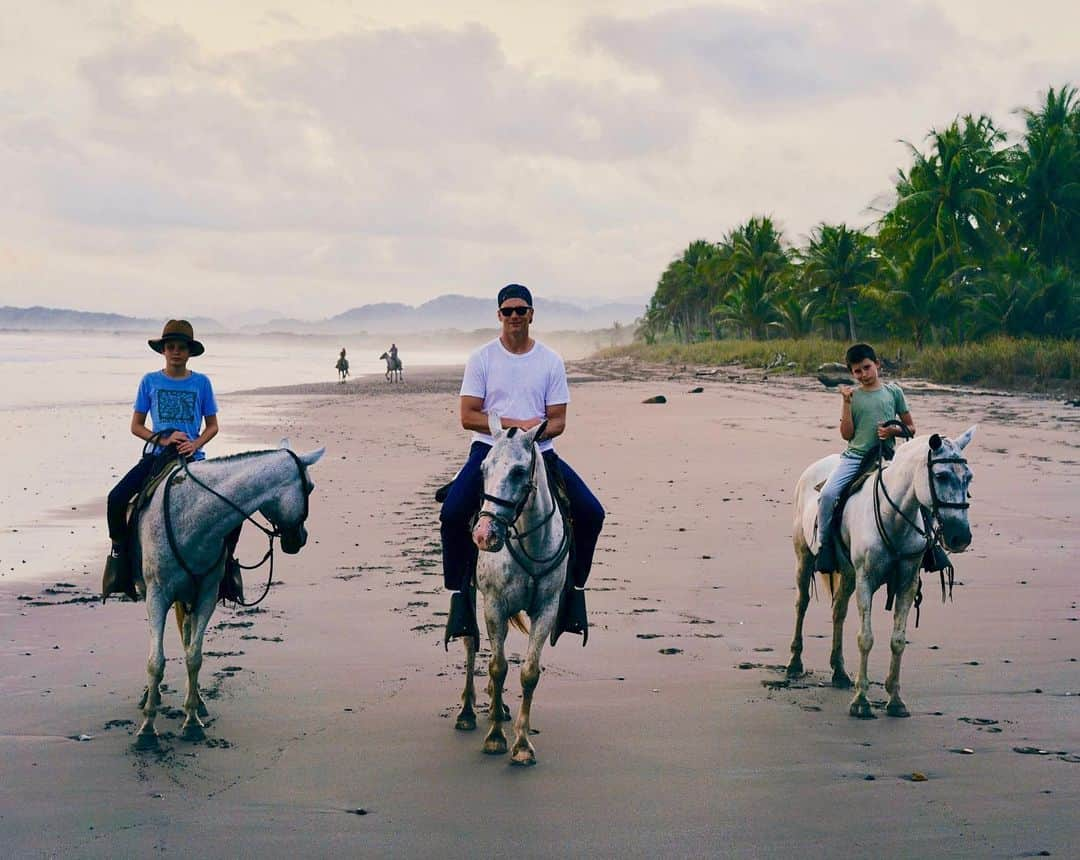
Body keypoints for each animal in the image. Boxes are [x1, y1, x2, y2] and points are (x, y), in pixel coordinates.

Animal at [132, 442, 321, 747]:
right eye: (311, 487)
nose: (300, 538)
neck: (192, 516)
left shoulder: (206, 594)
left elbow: (194, 656)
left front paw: (192, 721)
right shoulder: (157, 596)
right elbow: (155, 661)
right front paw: (147, 729)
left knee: (187, 637)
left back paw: (196, 700)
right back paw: (153, 695)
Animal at [457, 410, 574, 764]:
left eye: (519, 471)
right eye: (483, 469)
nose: (484, 534)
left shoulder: (547, 608)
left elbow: (528, 672)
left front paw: (522, 744)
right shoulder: (495, 604)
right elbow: (497, 667)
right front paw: (495, 737)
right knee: (470, 642)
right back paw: (467, 712)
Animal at [786, 425, 980, 717]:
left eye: (968, 477)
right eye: (941, 475)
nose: (961, 537)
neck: (894, 516)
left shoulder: (907, 583)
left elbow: (898, 640)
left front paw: (895, 700)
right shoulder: (866, 579)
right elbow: (865, 638)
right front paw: (861, 702)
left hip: (848, 574)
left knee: (838, 611)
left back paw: (839, 672)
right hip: (804, 555)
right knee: (802, 603)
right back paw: (794, 664)